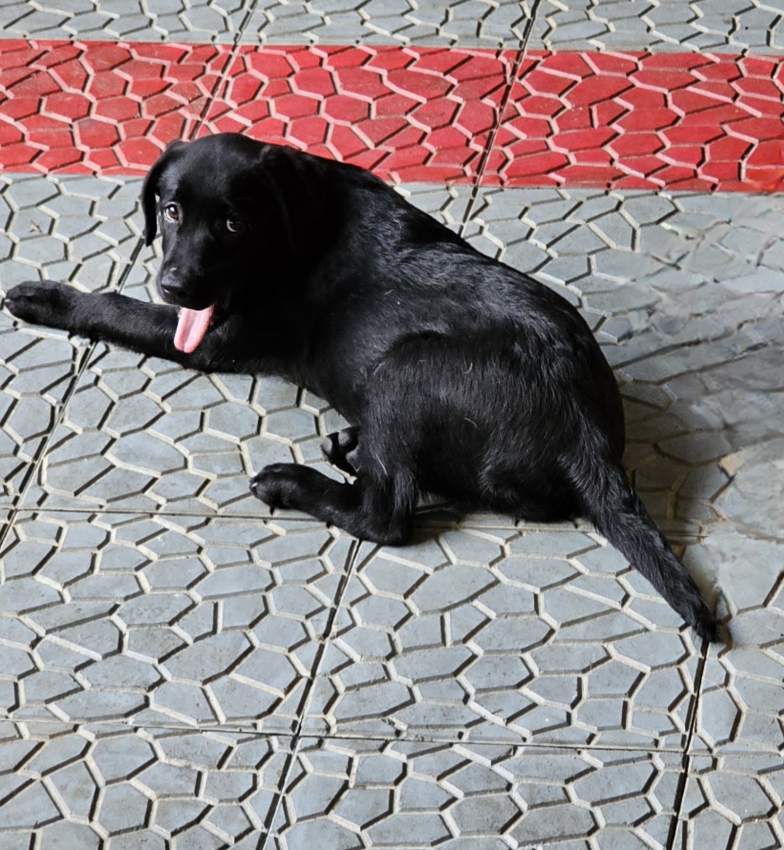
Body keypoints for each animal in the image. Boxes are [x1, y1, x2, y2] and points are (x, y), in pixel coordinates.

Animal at [4, 132, 716, 636]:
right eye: (171, 210)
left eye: (233, 224)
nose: (175, 284)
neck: (298, 214)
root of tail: (586, 433)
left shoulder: (217, 338)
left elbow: (120, 307)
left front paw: (50, 298)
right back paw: (351, 445)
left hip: (405, 366)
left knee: (387, 513)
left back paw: (297, 480)